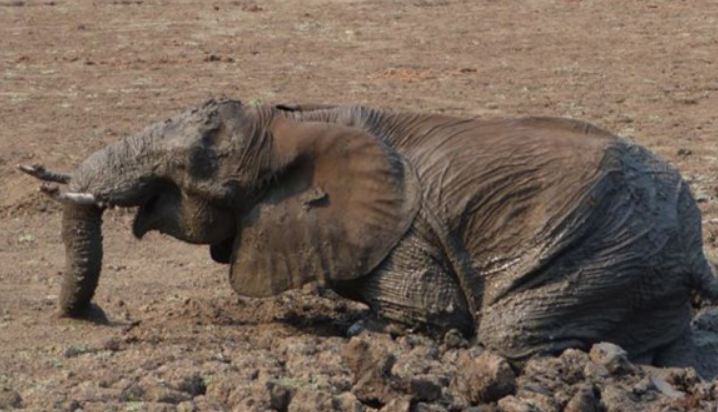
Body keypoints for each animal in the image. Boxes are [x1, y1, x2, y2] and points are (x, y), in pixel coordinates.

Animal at [21, 99, 718, 370]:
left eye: (194, 165)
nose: (101, 316)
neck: (299, 121)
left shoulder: (406, 235)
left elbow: (427, 315)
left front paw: (367, 333)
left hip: (610, 252)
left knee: (514, 331)